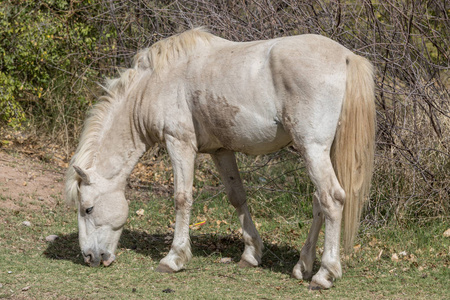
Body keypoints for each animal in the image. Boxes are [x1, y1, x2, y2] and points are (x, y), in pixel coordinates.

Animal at [65, 27, 374, 288]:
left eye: (88, 209)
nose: (90, 257)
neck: (154, 84)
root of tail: (346, 56)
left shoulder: (179, 143)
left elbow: (182, 198)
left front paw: (174, 258)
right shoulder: (221, 151)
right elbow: (237, 197)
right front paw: (251, 254)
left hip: (312, 149)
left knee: (332, 199)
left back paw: (324, 274)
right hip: (320, 152)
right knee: (318, 202)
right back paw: (302, 266)